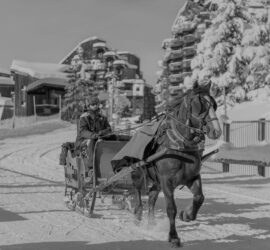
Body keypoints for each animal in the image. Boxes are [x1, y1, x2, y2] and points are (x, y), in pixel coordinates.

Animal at [131, 84, 221, 248]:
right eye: (199, 105)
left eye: (214, 104)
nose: (216, 131)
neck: (180, 146)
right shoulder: (166, 181)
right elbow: (171, 208)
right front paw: (173, 237)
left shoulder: (192, 177)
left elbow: (199, 197)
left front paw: (186, 215)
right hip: (138, 173)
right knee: (138, 190)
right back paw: (138, 213)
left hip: (156, 181)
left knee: (152, 197)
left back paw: (151, 222)